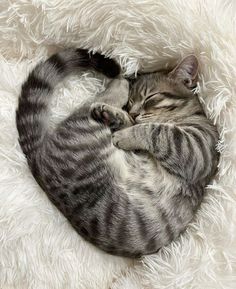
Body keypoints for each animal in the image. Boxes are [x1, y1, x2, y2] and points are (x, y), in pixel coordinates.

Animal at [16, 48, 219, 258]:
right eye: (131, 102)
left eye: (149, 98)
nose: (133, 112)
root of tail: (37, 161)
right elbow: (145, 126)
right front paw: (122, 119)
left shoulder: (198, 148)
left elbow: (157, 131)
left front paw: (125, 133)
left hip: (87, 131)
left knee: (92, 105)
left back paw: (119, 85)